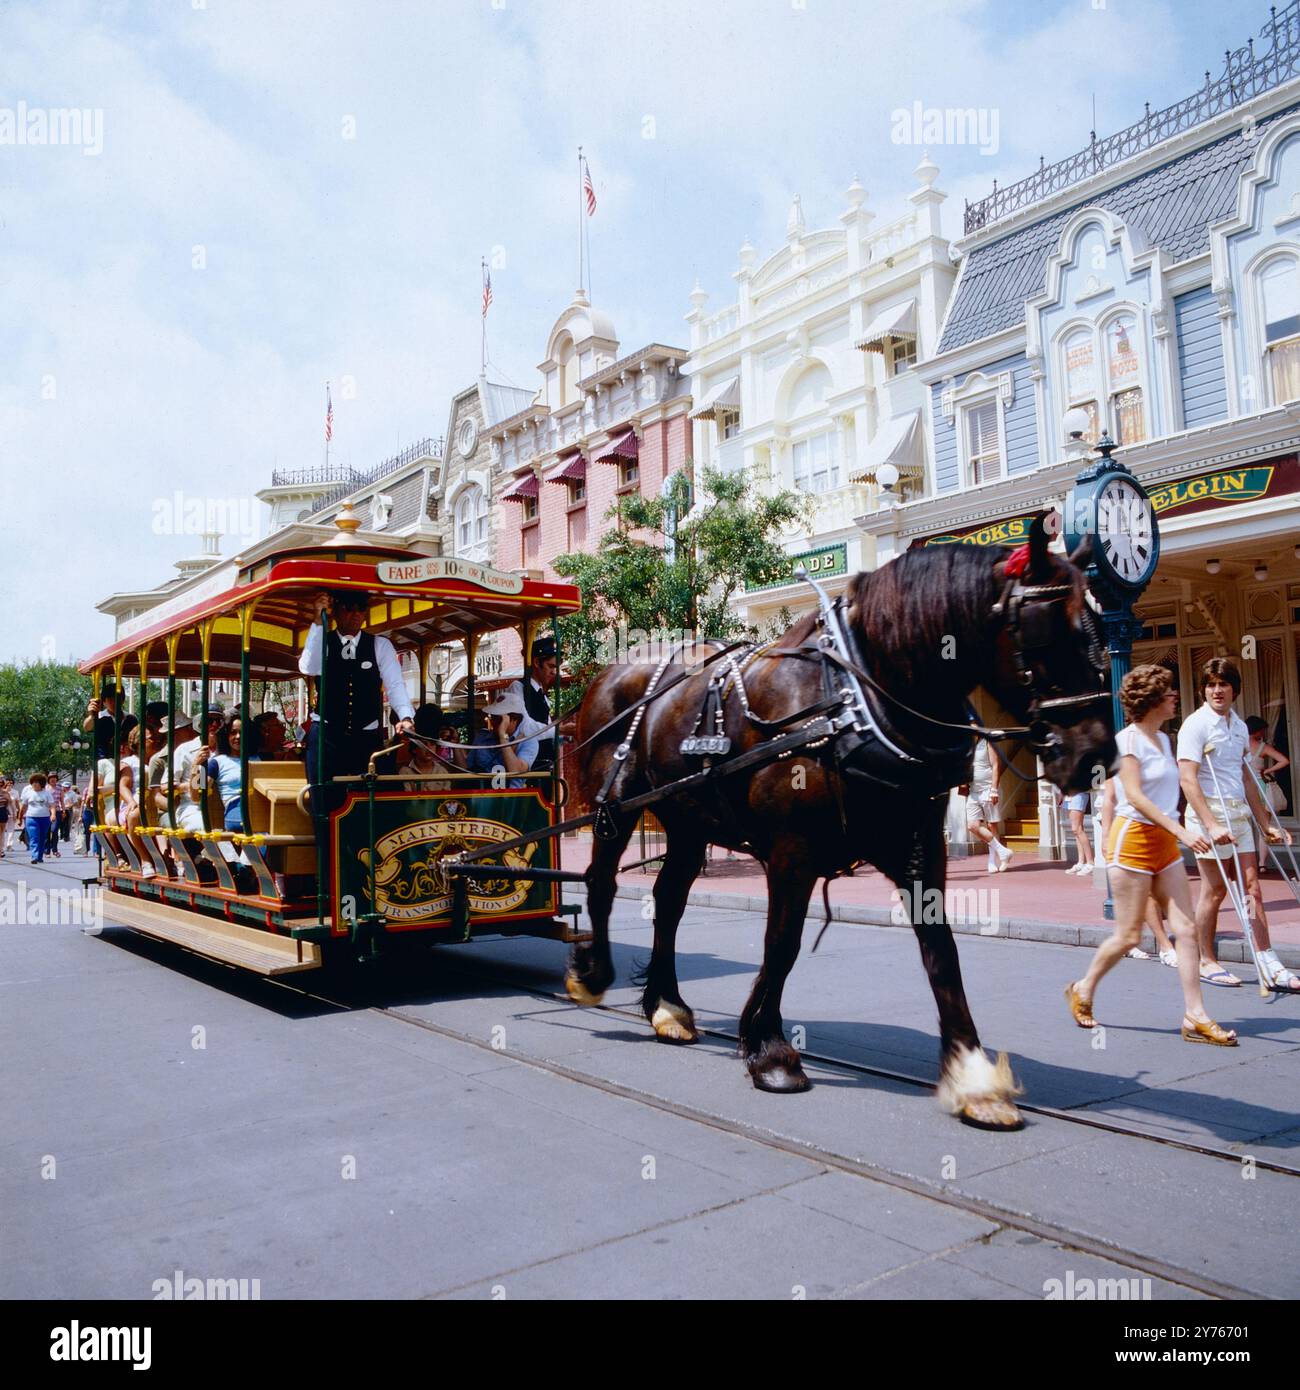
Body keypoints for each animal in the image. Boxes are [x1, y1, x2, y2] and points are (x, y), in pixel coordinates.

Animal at [564, 519, 1112, 1128]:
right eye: (1046, 634)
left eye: (1101, 627)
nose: (1095, 756)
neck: (854, 700)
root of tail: (612, 669)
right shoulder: (792, 850)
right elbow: (781, 943)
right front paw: (771, 1051)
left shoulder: (920, 847)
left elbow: (941, 952)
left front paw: (973, 1076)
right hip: (617, 810)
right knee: (602, 885)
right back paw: (593, 975)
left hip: (689, 822)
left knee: (668, 899)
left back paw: (668, 1008)